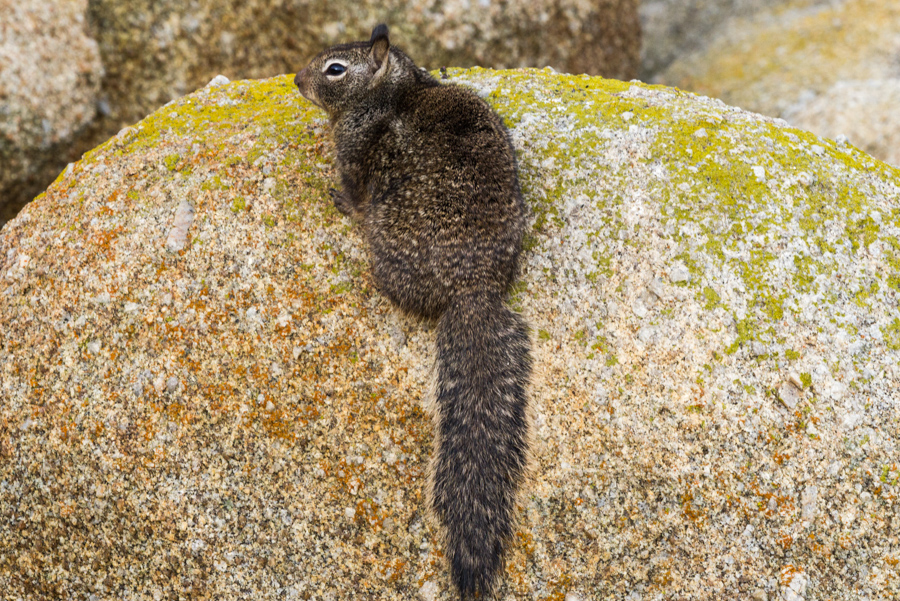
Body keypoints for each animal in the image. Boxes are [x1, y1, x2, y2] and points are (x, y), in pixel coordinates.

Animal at [296, 24, 536, 600]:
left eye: (334, 69)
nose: (294, 79)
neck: (395, 88)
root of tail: (474, 290)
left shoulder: (354, 152)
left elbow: (353, 185)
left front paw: (342, 200)